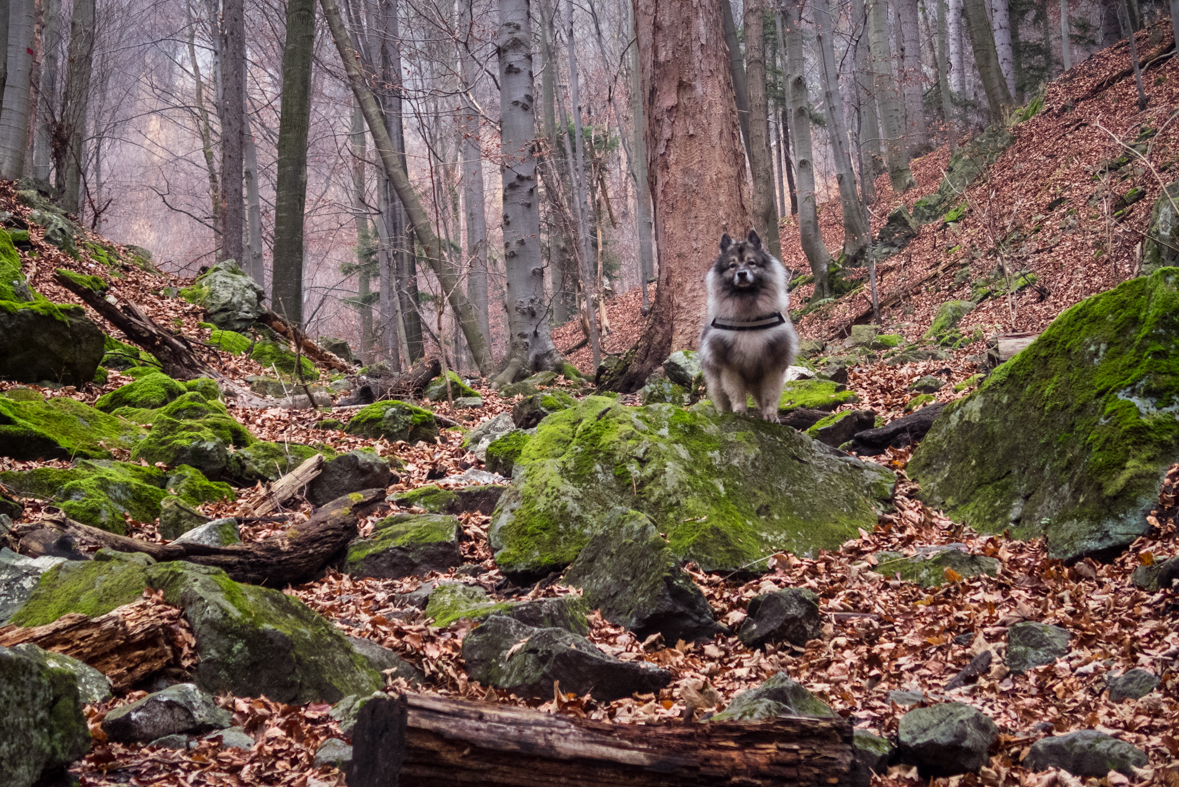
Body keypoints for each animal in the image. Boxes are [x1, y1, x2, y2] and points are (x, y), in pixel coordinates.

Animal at [693, 228, 797, 421]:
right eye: (732, 265)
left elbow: (770, 395)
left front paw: (771, 415)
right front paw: (739, 411)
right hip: (715, 382)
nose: (742, 273)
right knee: (722, 399)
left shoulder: (772, 365)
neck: (748, 313)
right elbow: (736, 392)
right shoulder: (729, 366)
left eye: (751, 263)